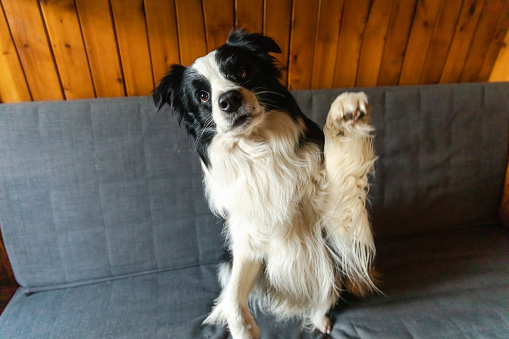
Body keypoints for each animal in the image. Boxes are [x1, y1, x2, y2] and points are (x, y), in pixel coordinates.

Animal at [153, 29, 376, 339]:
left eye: (241, 71)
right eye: (203, 95)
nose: (230, 99)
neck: (258, 148)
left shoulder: (335, 219)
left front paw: (345, 114)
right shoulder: (249, 241)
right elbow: (234, 298)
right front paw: (242, 328)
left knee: (327, 292)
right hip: (227, 255)